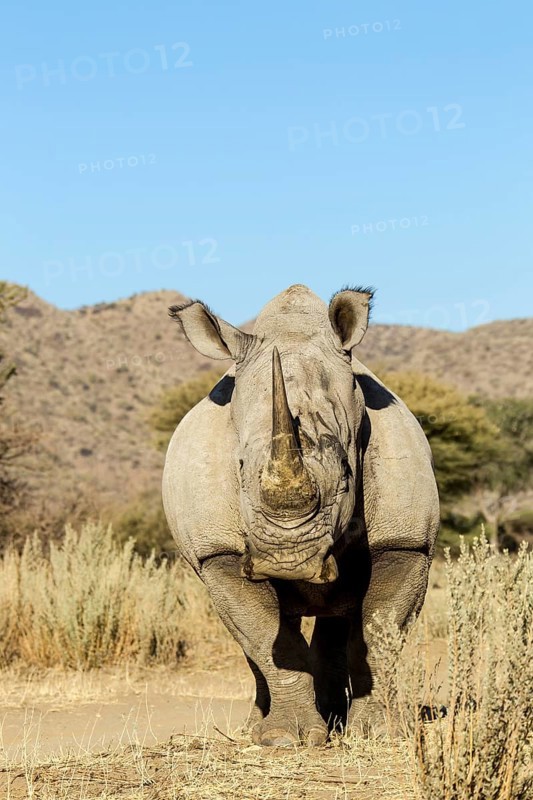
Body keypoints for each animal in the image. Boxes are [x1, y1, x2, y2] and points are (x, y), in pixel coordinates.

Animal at [163, 284, 439, 747]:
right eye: (239, 467)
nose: (286, 562)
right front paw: (283, 739)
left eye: (347, 471)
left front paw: (378, 734)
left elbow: (379, 631)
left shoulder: (406, 542)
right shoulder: (216, 551)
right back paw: (258, 728)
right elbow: (266, 637)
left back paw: (335, 720)